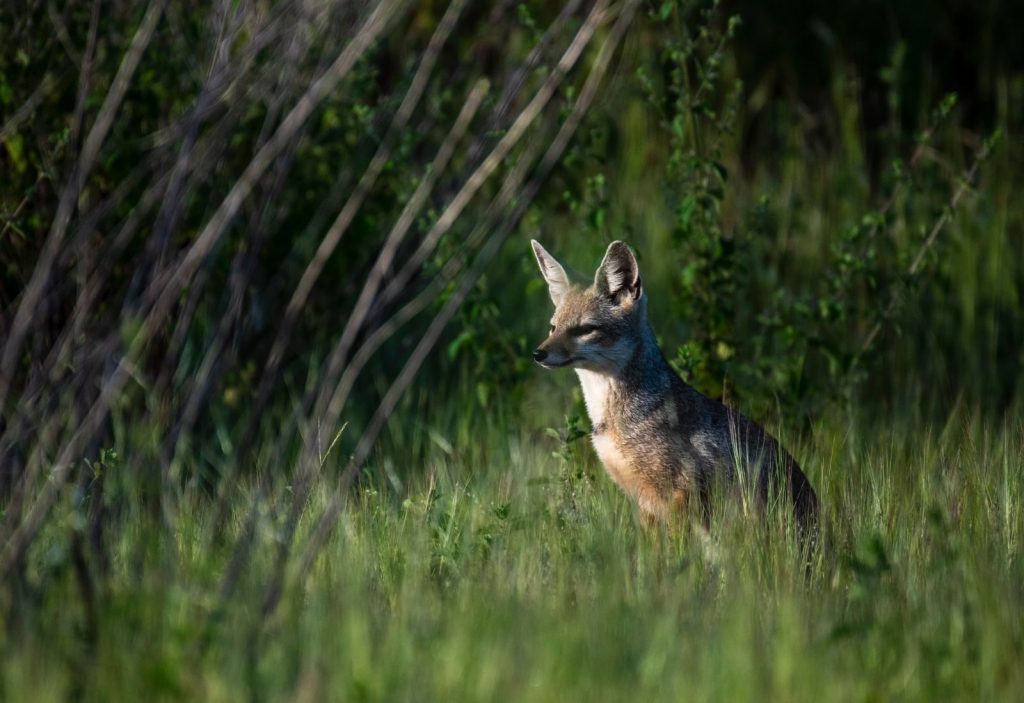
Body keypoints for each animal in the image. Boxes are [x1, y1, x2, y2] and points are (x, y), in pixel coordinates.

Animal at [531, 239, 818, 533]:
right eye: (553, 328)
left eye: (585, 329)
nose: (538, 354)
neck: (611, 419)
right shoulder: (644, 503)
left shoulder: (678, 495)